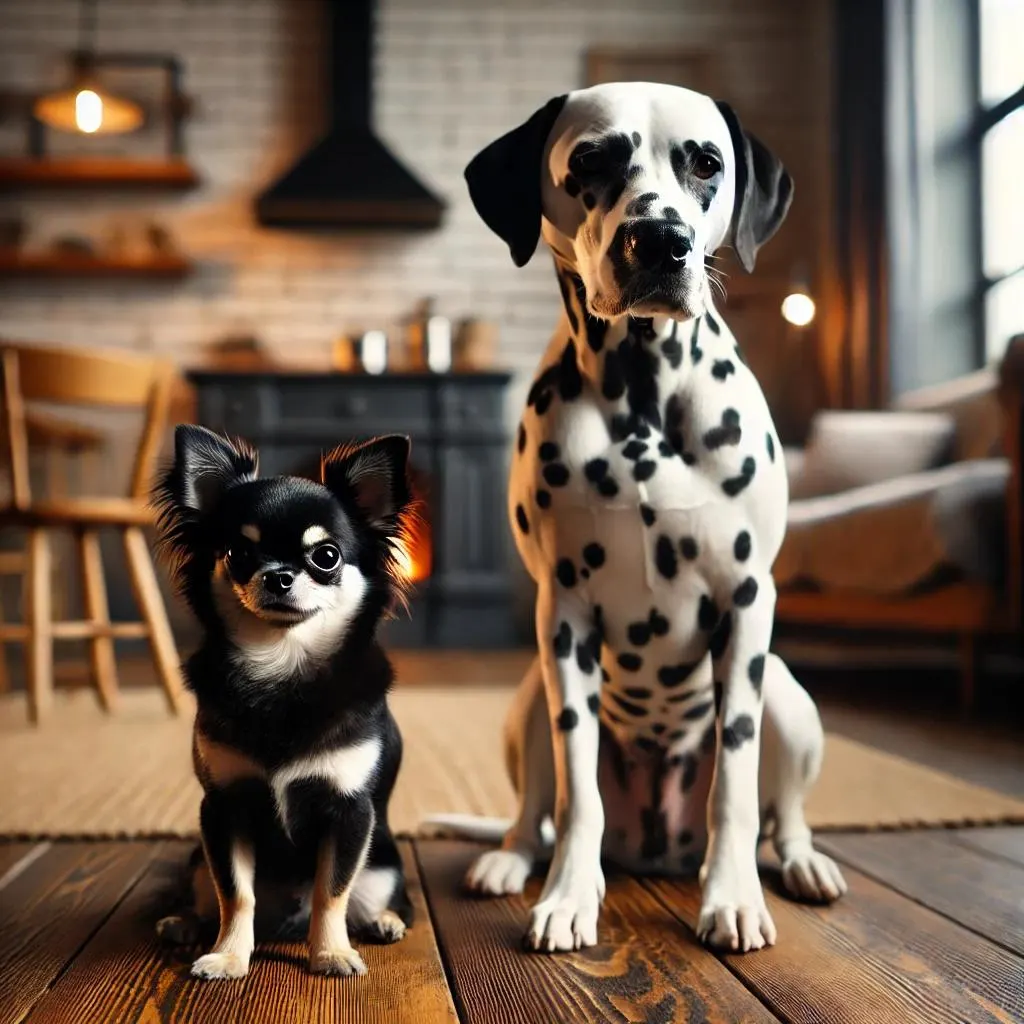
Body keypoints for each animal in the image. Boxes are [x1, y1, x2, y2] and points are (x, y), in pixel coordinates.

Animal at [448, 83, 847, 954]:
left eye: (706, 163)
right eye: (591, 160)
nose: (660, 242)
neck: (643, 393)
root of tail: (658, 846)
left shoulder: (747, 604)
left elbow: (736, 785)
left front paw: (733, 897)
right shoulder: (563, 617)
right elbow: (576, 793)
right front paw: (569, 896)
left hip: (790, 700)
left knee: (785, 815)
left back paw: (803, 863)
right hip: (526, 700)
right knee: (534, 813)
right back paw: (508, 861)